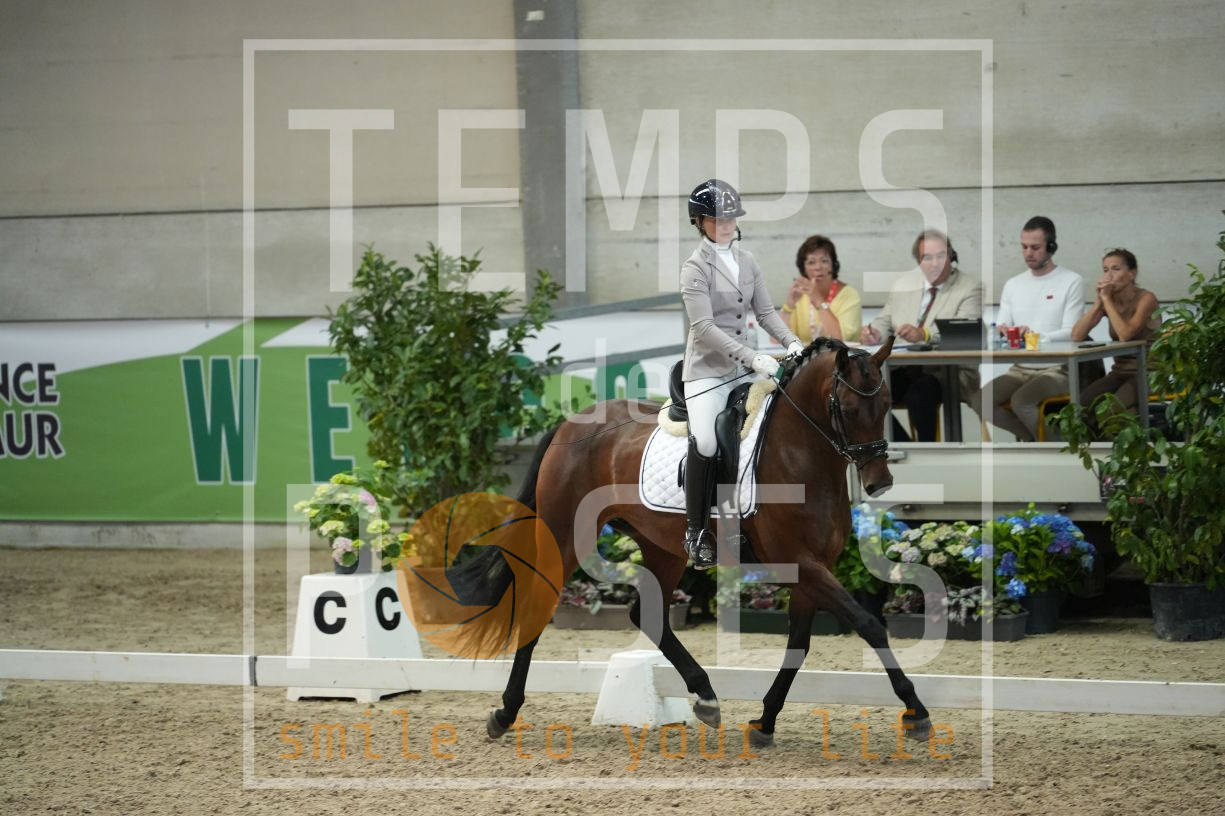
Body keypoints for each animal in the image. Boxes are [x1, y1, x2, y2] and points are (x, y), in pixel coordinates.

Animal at [450, 335, 931, 747]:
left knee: (648, 614)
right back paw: (505, 713)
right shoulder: (800, 562)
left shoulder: (814, 568)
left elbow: (799, 643)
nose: (881, 482)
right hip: (567, 535)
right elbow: (869, 624)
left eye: (886, 404)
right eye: (847, 408)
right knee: (539, 605)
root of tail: (568, 426)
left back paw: (705, 695)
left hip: (661, 547)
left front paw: (764, 721)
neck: (798, 454)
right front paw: (916, 711)